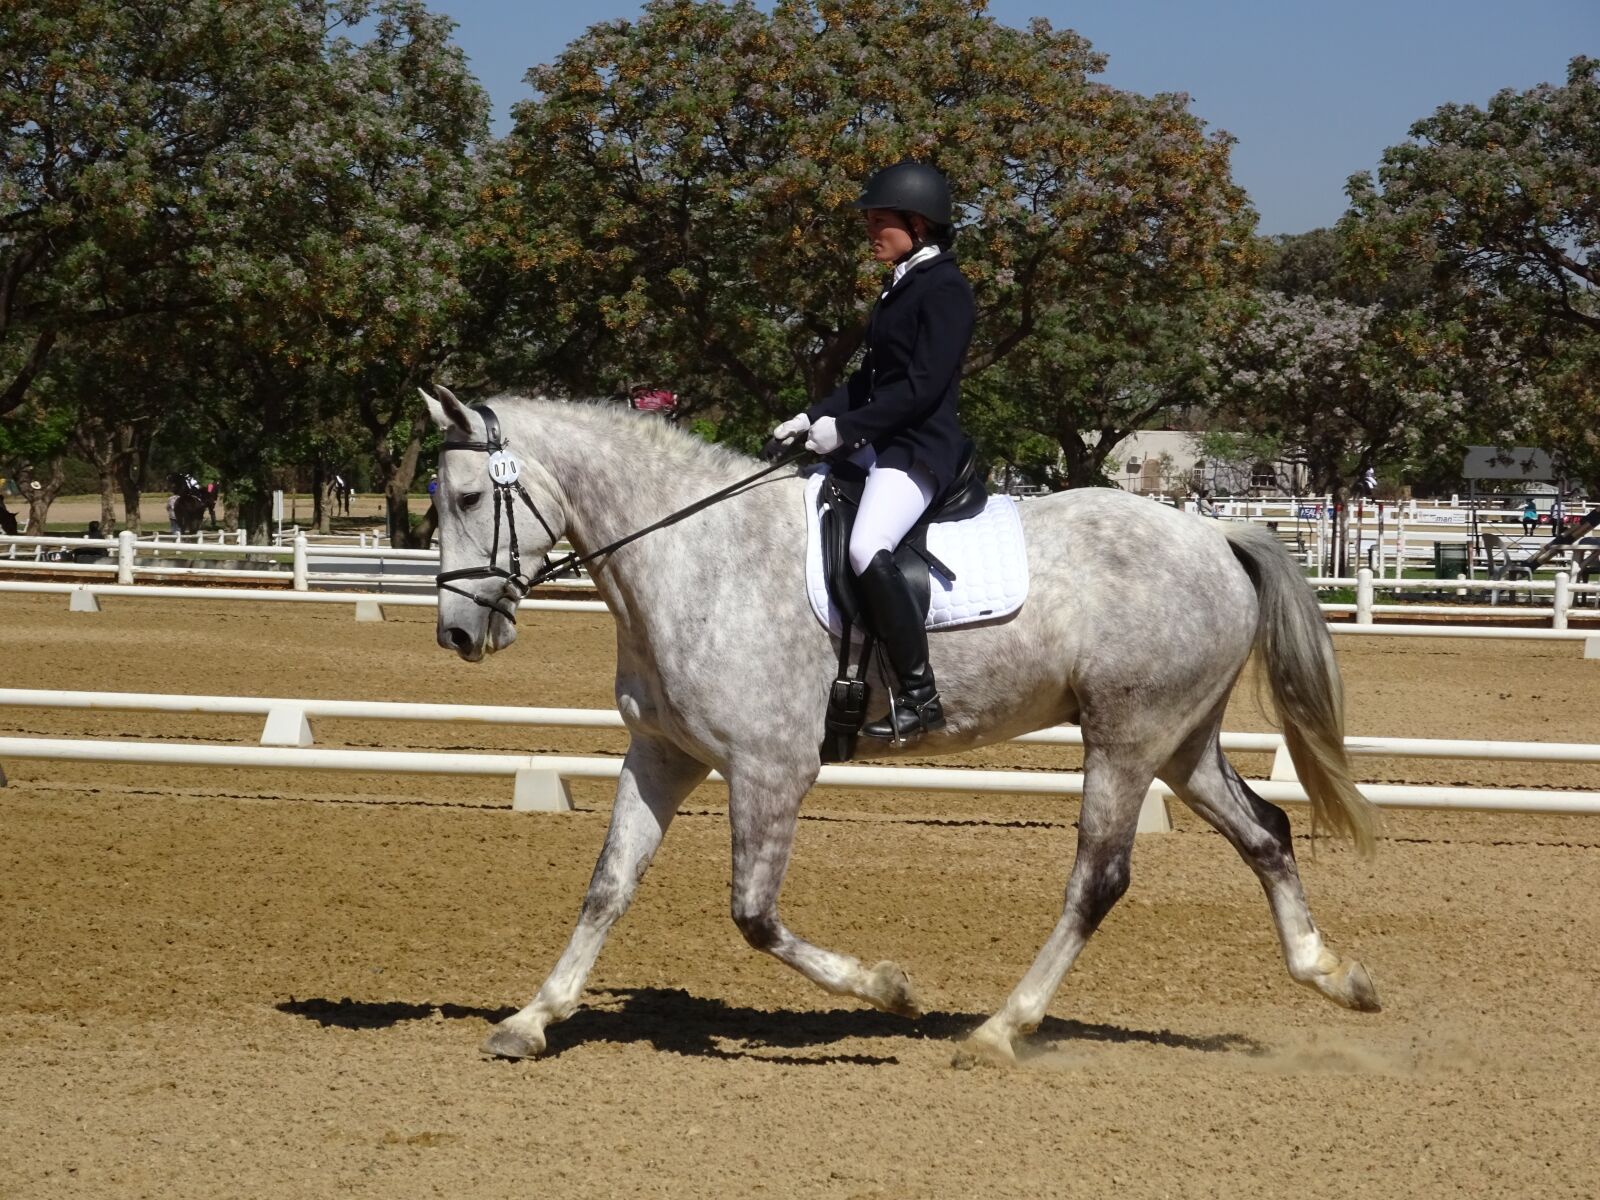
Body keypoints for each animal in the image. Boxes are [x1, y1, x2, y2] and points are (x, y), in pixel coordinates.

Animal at [422, 389, 1382, 1064]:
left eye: (466, 496)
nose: (458, 636)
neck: (697, 557)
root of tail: (1216, 538)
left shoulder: (771, 768)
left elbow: (753, 915)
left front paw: (889, 989)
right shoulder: (663, 754)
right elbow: (607, 888)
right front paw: (530, 1019)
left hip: (1127, 738)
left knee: (1099, 879)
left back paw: (998, 1030)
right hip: (1180, 741)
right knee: (1266, 832)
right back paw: (1332, 975)